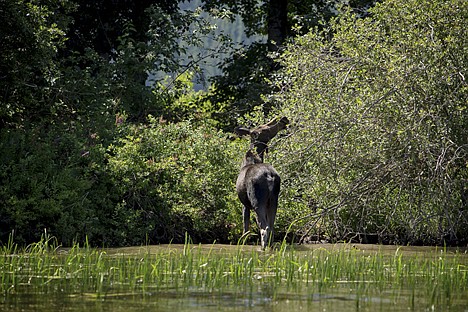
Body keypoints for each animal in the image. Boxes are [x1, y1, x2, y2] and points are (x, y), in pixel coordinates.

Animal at [236, 116, 288, 250]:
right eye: (265, 127)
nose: (284, 119)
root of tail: (269, 177)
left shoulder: (245, 204)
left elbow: (245, 230)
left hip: (257, 201)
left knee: (264, 229)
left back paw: (263, 248)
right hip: (274, 200)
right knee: (272, 229)